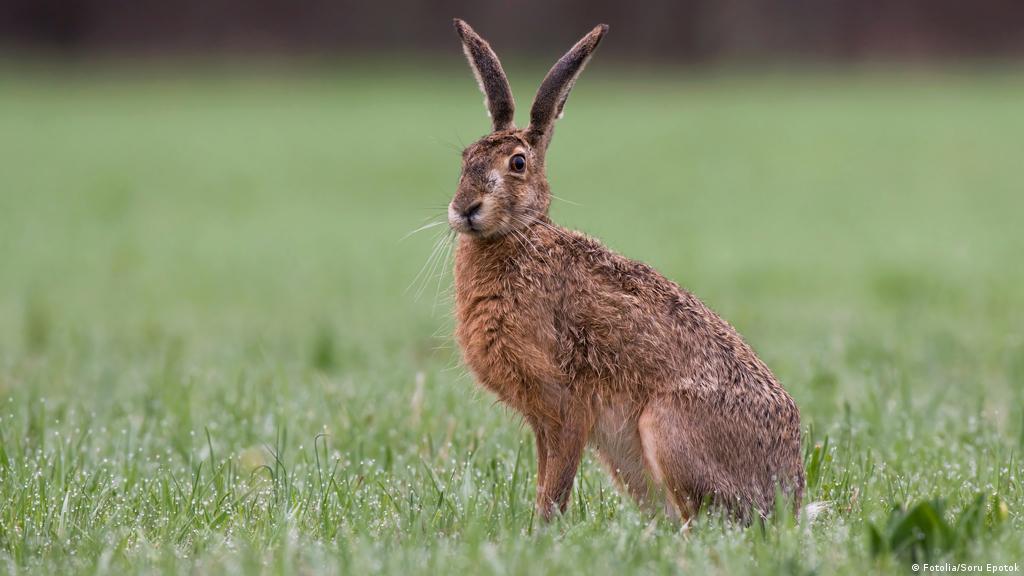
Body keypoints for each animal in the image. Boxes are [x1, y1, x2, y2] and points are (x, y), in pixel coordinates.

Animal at [448, 19, 805, 522]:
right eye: (465, 159)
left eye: (517, 163)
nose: (464, 209)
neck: (521, 237)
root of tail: (788, 500)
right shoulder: (543, 420)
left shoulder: (565, 405)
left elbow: (555, 485)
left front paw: (541, 531)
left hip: (665, 428)